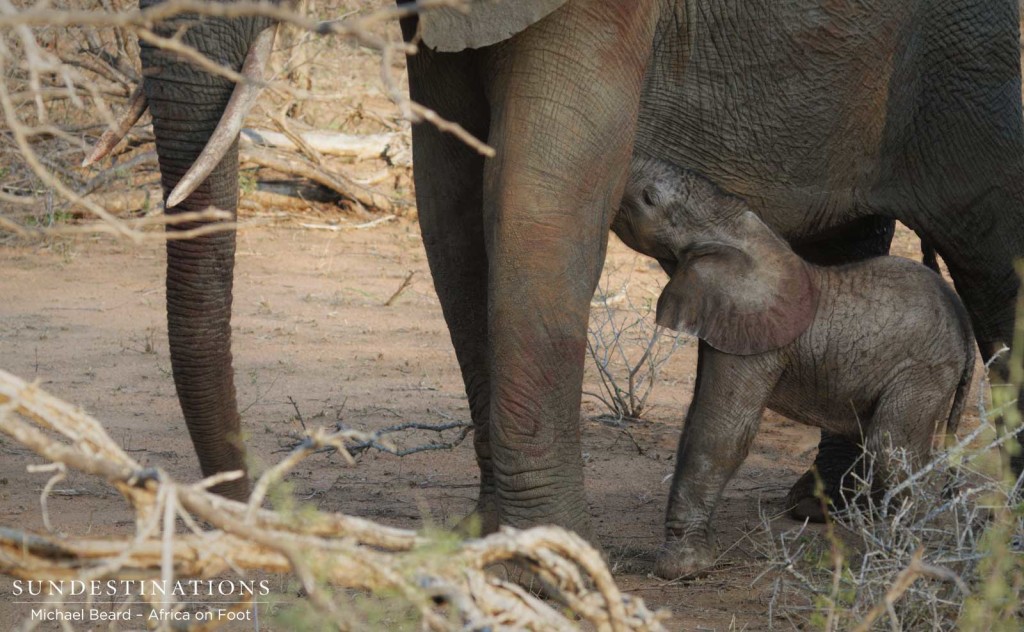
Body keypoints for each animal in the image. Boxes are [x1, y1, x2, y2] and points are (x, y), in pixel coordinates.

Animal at [614, 156, 974, 577]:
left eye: (649, 198)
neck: (734, 229)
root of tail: (965, 330)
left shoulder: (757, 346)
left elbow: (721, 431)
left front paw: (680, 567)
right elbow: (697, 419)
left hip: (923, 371)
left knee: (890, 448)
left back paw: (910, 556)